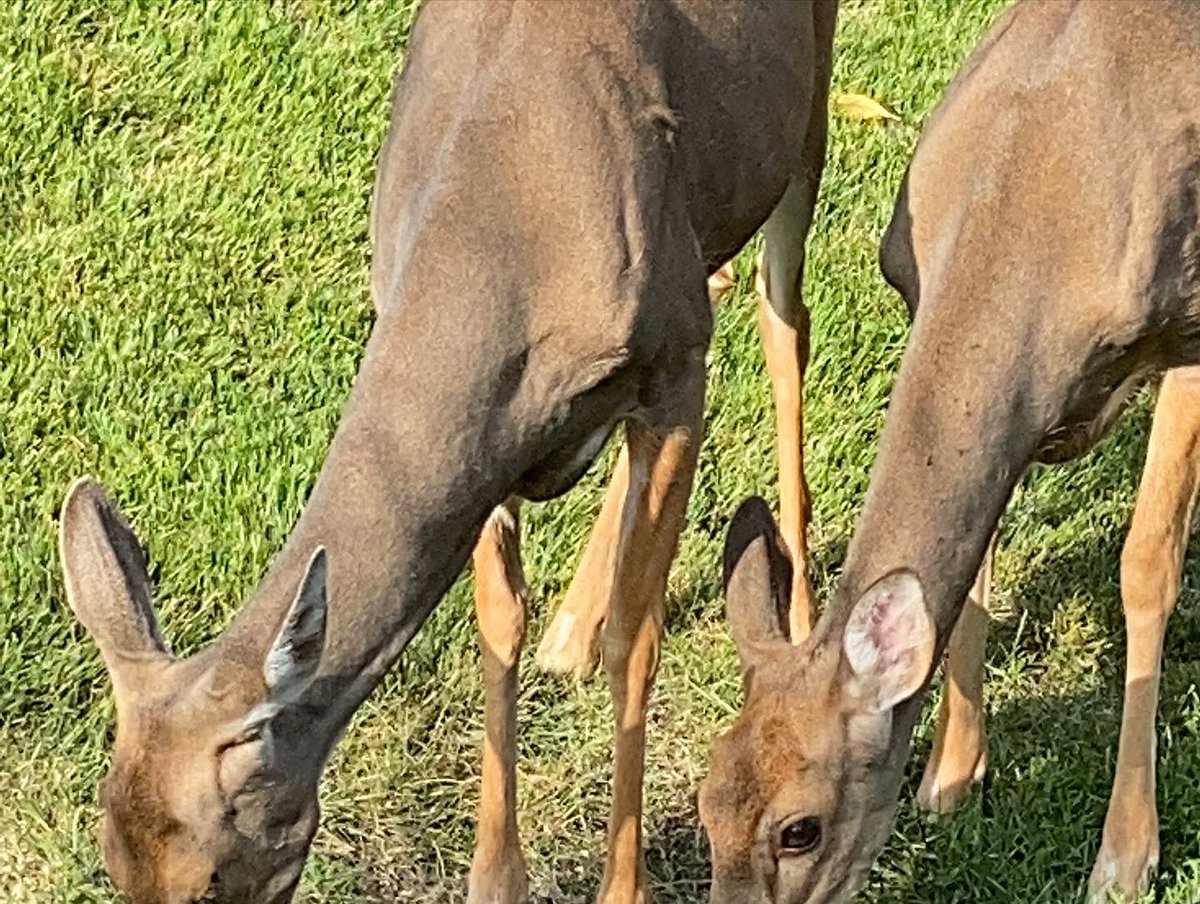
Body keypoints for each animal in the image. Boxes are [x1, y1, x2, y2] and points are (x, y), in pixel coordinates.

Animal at [56, 2, 838, 902]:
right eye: (114, 860)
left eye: (209, 877)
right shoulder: (491, 446)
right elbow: (498, 622)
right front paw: (495, 877)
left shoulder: (672, 363)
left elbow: (636, 641)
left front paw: (623, 887)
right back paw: (569, 631)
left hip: (802, 116)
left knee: (784, 317)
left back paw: (802, 606)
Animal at [697, 1, 1200, 902]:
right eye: (705, 805)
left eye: (800, 828)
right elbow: (977, 571)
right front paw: (952, 772)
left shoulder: (1188, 327)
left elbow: (1146, 566)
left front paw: (1125, 854)